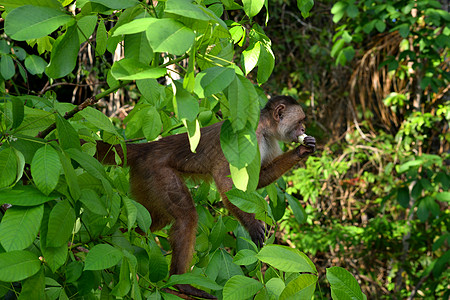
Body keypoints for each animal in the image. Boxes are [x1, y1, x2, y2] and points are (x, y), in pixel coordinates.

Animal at [94, 95, 316, 298]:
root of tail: (147, 148)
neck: (264, 128)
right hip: (156, 171)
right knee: (186, 217)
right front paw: (253, 226)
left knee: (154, 220)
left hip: (143, 178)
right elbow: (225, 182)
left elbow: (258, 178)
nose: (304, 129)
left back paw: (114, 237)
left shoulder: (269, 142)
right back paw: (181, 284)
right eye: (300, 121)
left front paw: (302, 150)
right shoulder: (247, 138)